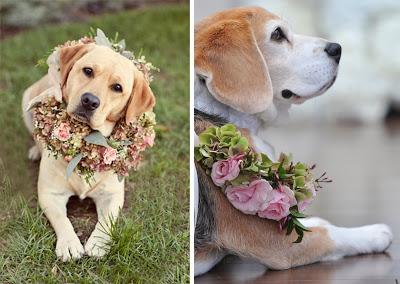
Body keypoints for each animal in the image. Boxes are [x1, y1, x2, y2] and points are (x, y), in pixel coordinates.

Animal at [21, 42, 156, 262]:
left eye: (117, 87)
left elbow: (108, 219)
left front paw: (98, 242)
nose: (90, 101)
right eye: (88, 71)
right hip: (27, 98)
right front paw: (69, 243)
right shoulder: (50, 193)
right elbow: (62, 218)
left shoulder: (112, 195)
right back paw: (35, 150)